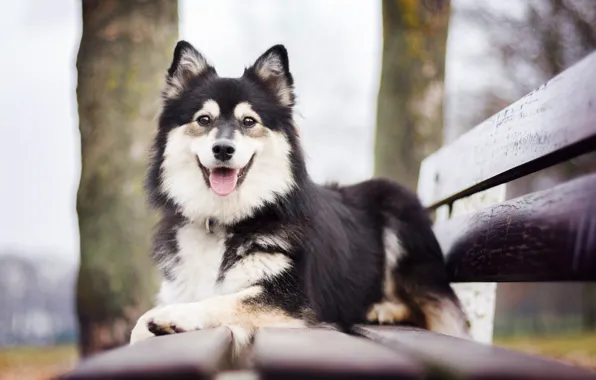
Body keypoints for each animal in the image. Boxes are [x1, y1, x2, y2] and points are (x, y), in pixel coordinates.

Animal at [130, 40, 470, 348]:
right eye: (204, 120)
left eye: (248, 121)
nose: (223, 149)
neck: (227, 220)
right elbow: (137, 328)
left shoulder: (293, 301)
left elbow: (223, 300)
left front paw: (175, 316)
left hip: (397, 207)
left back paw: (382, 309)